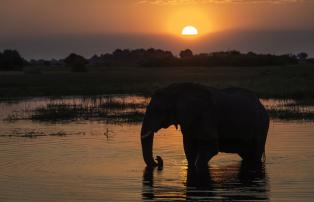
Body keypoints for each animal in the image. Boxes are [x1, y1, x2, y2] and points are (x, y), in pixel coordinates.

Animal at [140, 83, 270, 170]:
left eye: (157, 110)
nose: (158, 159)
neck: (178, 91)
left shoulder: (206, 115)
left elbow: (210, 147)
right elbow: (189, 148)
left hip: (262, 125)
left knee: (255, 153)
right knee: (247, 154)